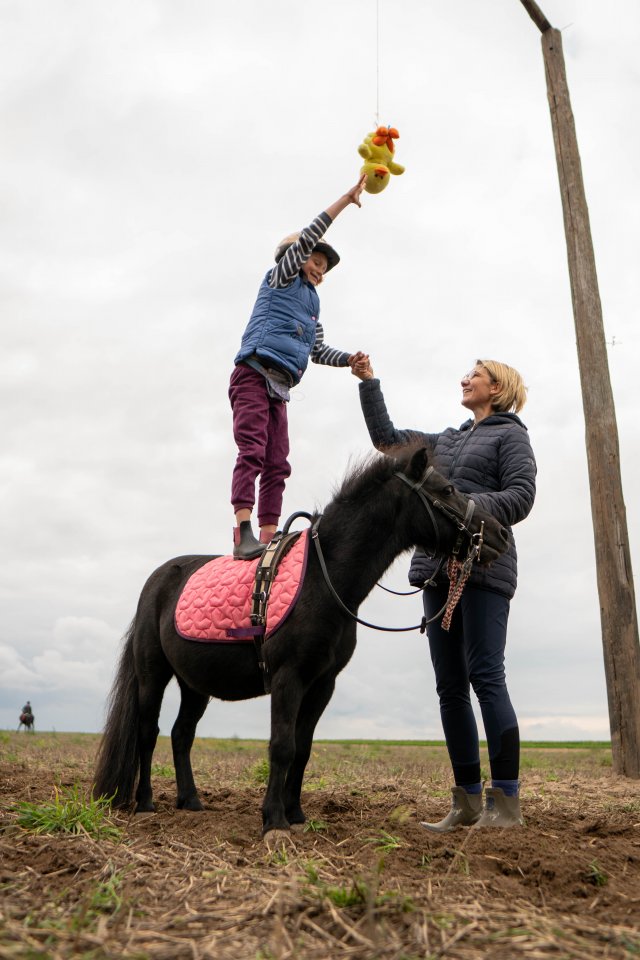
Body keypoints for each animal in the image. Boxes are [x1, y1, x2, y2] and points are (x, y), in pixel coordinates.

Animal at [95, 446, 508, 836]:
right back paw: (145, 803)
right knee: (148, 733)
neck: (323, 579)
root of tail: (158, 579)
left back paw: (191, 800)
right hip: (153, 675)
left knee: (182, 735)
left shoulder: (322, 684)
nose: (500, 534)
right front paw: (273, 820)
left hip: (195, 684)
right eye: (447, 489)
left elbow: (303, 749)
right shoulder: (287, 678)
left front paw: (295, 814)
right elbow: (282, 746)